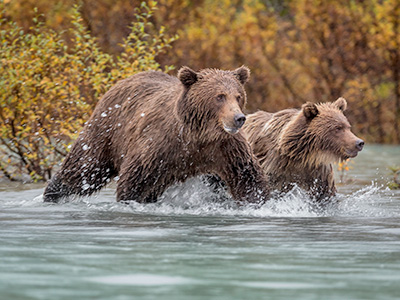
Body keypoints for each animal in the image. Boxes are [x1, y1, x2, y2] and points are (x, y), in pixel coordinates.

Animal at [43, 66, 272, 204]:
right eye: (219, 96)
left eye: (238, 95)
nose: (239, 118)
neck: (198, 135)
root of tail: (122, 81)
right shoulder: (160, 145)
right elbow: (135, 179)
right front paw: (128, 200)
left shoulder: (225, 148)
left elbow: (247, 178)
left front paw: (259, 202)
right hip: (105, 131)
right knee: (84, 167)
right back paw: (52, 193)